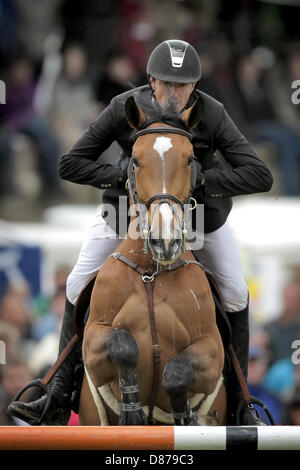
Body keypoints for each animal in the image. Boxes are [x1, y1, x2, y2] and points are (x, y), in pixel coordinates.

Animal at [78, 94, 226, 426]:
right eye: (135, 160)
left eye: (190, 160)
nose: (165, 241)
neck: (151, 272)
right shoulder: (93, 344)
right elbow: (123, 344)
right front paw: (132, 411)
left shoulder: (212, 353)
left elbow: (176, 372)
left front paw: (185, 416)